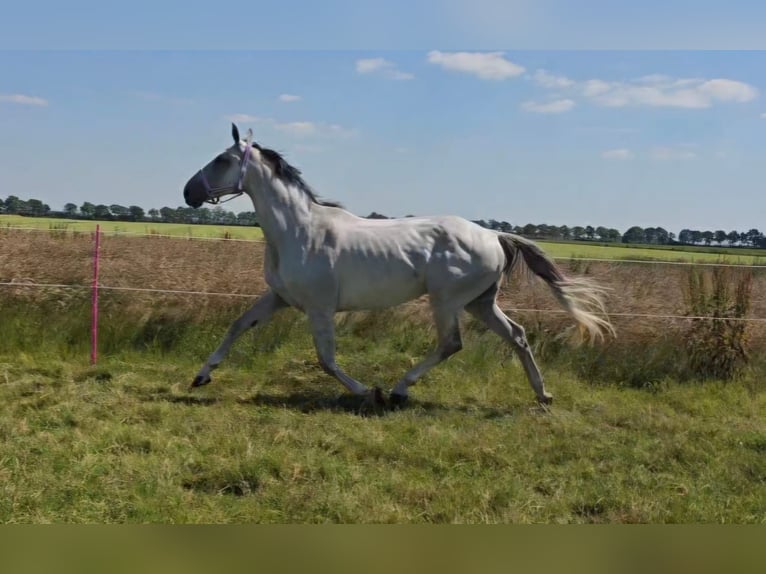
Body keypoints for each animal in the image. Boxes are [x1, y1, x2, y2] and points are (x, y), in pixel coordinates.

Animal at [182, 123, 616, 410]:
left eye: (222, 159)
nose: (189, 192)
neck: (298, 230)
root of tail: (493, 235)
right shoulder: (279, 297)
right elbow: (238, 325)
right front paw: (201, 376)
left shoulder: (320, 308)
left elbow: (326, 359)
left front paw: (366, 392)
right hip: (481, 302)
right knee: (518, 336)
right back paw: (542, 394)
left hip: (447, 301)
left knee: (451, 344)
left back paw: (398, 389)